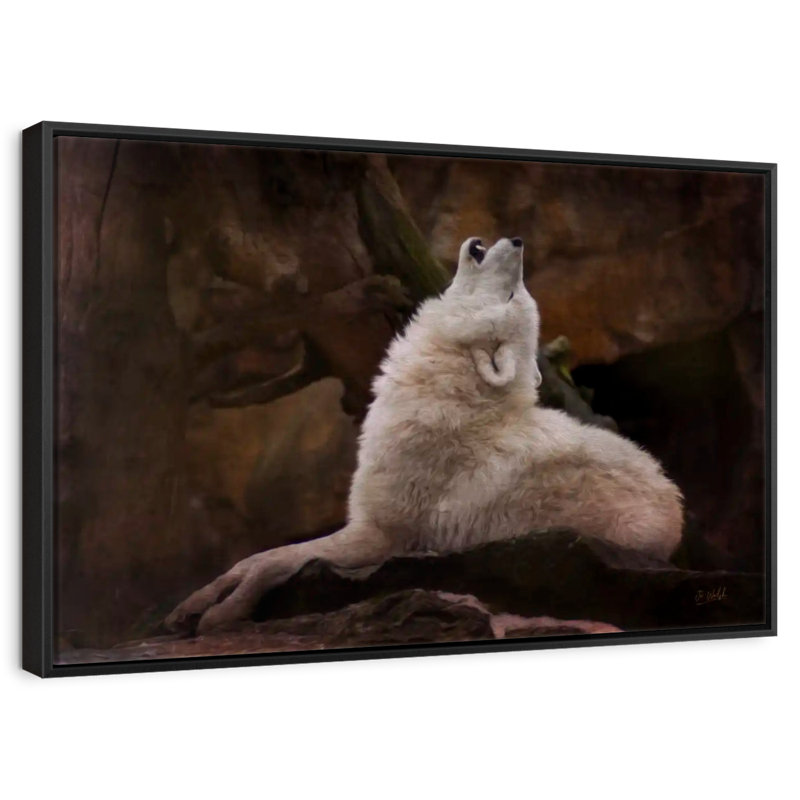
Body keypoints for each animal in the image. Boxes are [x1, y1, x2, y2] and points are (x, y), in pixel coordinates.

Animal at [167, 237, 683, 633]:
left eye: (513, 295)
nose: (518, 241)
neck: (451, 393)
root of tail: (676, 515)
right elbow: (253, 558)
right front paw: (189, 605)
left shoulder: (376, 534)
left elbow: (272, 562)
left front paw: (220, 615)